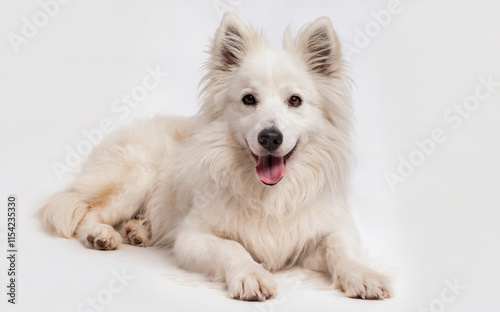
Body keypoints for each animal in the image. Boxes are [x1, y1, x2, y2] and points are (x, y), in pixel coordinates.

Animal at [40, 14, 390, 300]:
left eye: (295, 101)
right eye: (249, 99)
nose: (270, 137)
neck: (270, 194)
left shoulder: (326, 232)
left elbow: (340, 248)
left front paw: (363, 275)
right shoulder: (192, 238)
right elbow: (232, 247)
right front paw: (251, 275)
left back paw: (137, 231)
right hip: (135, 179)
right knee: (88, 213)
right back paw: (102, 235)